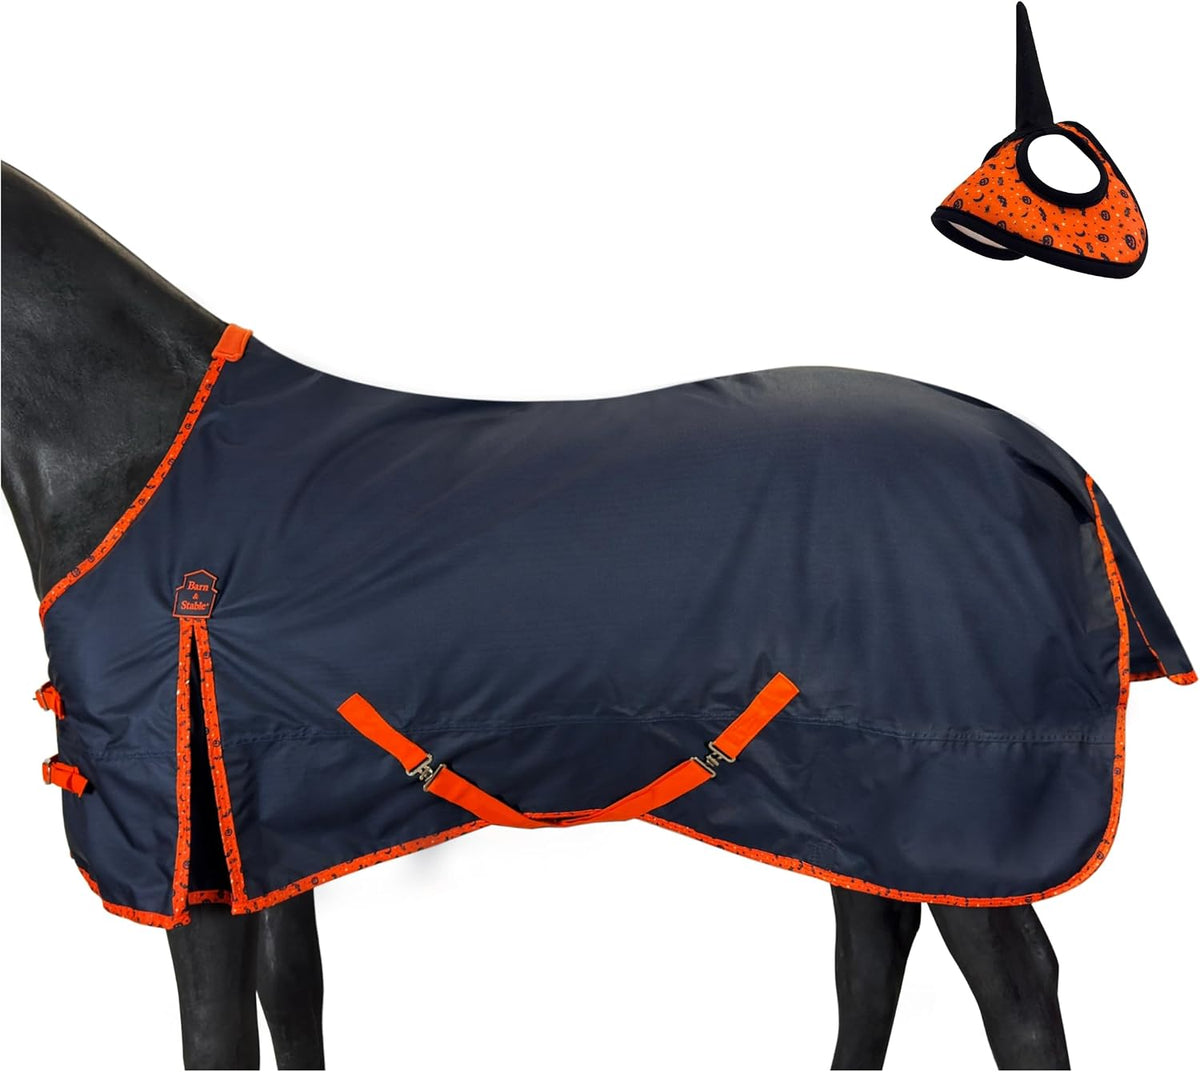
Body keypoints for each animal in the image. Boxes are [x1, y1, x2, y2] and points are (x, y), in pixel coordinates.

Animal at [4, 159, 1188, 1070]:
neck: (133, 449)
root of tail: (1051, 461)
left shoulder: (181, 845)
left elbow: (216, 1036)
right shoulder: (259, 818)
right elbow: (295, 1003)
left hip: (962, 803)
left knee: (1017, 989)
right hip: (858, 790)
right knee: (871, 946)